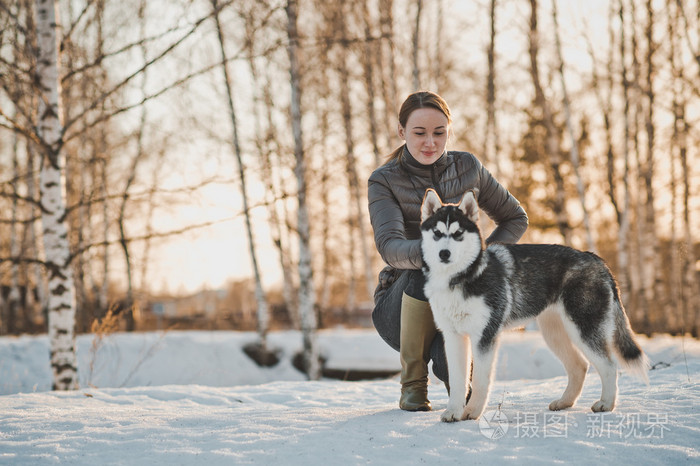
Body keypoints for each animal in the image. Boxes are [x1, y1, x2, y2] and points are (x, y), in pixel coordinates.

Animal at [416, 188, 652, 422]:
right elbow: (458, 380)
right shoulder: (453, 336)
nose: (444, 254)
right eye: (437, 233)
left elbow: (480, 381)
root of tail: (597, 259)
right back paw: (564, 402)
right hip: (554, 333)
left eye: (458, 234)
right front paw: (453, 411)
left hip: (584, 329)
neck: (461, 278)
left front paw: (472, 412)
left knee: (609, 366)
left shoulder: (485, 336)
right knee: (579, 366)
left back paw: (606, 404)